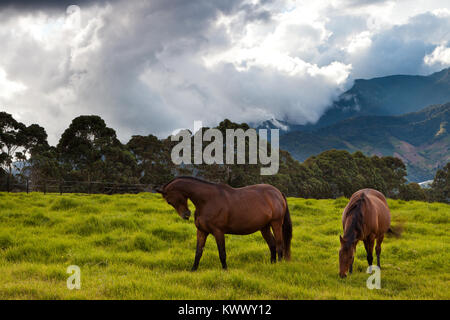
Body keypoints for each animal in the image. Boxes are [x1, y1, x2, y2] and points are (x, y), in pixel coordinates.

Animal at [156, 176, 294, 272]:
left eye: (170, 200)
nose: (186, 215)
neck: (207, 201)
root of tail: (278, 193)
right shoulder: (201, 231)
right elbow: (198, 252)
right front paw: (193, 270)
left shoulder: (218, 232)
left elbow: (222, 253)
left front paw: (225, 270)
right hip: (264, 227)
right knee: (272, 244)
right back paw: (272, 264)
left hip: (276, 224)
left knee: (279, 245)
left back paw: (278, 265)